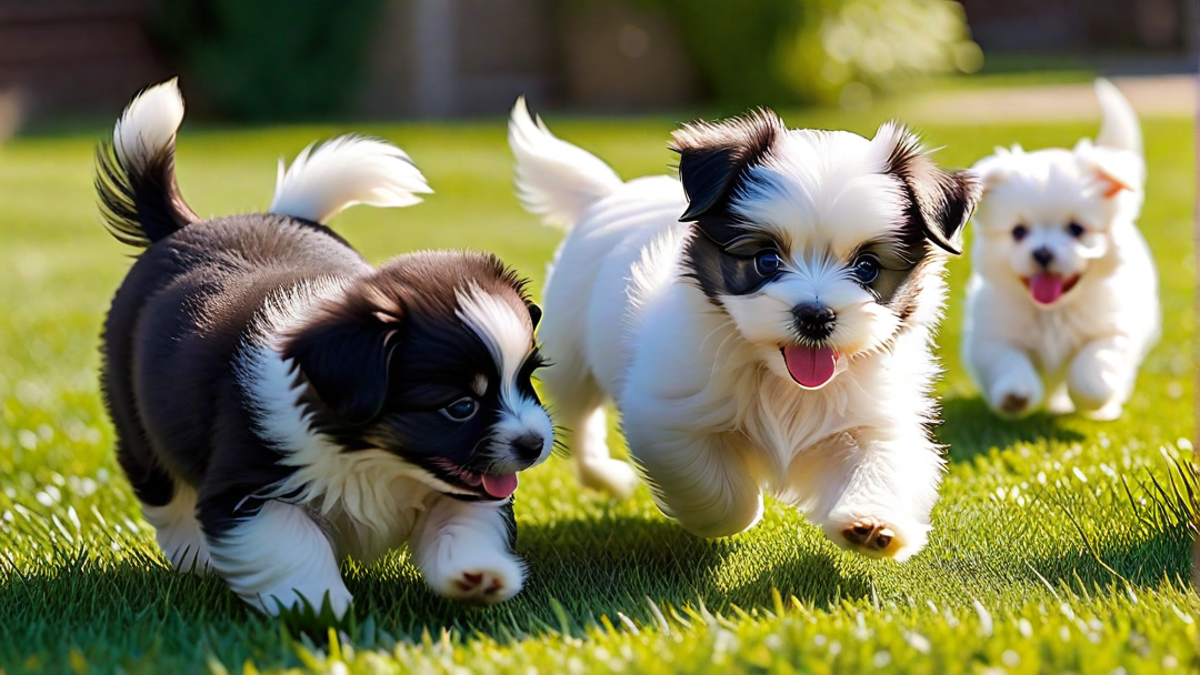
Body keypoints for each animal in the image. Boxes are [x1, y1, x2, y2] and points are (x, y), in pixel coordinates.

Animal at [100, 78, 554, 614]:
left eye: (526, 380)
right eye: (460, 406)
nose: (534, 444)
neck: (372, 458)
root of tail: (186, 227)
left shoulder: (464, 489)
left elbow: (463, 525)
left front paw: (478, 576)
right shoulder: (248, 487)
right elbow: (291, 544)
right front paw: (315, 603)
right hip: (136, 425)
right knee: (163, 493)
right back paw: (196, 558)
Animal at [511, 100, 979, 562]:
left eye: (867, 267)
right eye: (767, 260)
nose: (816, 315)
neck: (781, 379)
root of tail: (610, 194)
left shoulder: (874, 417)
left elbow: (881, 458)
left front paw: (873, 523)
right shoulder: (669, 415)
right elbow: (714, 489)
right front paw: (740, 513)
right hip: (572, 352)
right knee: (579, 414)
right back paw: (603, 475)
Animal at [955, 77, 1161, 415]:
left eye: (1076, 229)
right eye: (1018, 232)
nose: (1042, 253)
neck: (1052, 312)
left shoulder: (1114, 331)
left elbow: (1091, 367)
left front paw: (1096, 397)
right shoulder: (992, 336)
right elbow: (1009, 361)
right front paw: (1016, 394)